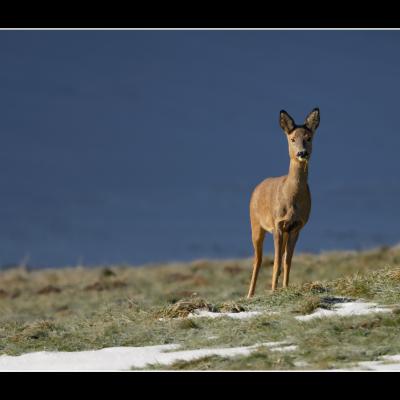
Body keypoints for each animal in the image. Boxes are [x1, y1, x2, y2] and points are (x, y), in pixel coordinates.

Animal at [247, 108, 322, 298]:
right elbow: (275, 262)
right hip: (255, 224)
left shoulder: (296, 226)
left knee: (279, 257)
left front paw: (285, 288)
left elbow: (287, 261)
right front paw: (274, 290)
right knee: (257, 260)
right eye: (292, 139)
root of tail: (257, 187)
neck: (292, 200)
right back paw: (249, 295)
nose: (302, 153)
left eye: (309, 137)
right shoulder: (277, 224)